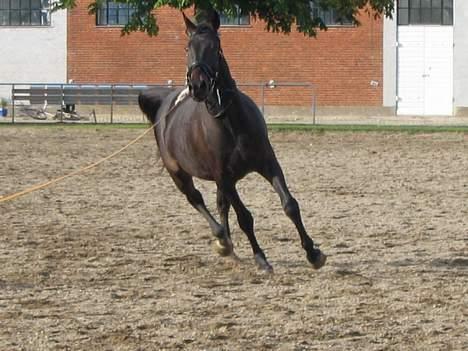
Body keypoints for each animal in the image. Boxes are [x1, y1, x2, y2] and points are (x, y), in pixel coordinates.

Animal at [139, 10, 326, 272]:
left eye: (215, 46)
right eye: (187, 47)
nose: (198, 85)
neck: (231, 122)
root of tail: (165, 105)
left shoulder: (268, 164)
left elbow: (290, 205)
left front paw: (313, 253)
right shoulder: (224, 177)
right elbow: (245, 217)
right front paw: (261, 259)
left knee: (220, 204)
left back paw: (230, 248)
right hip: (179, 174)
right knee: (195, 198)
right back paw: (222, 240)